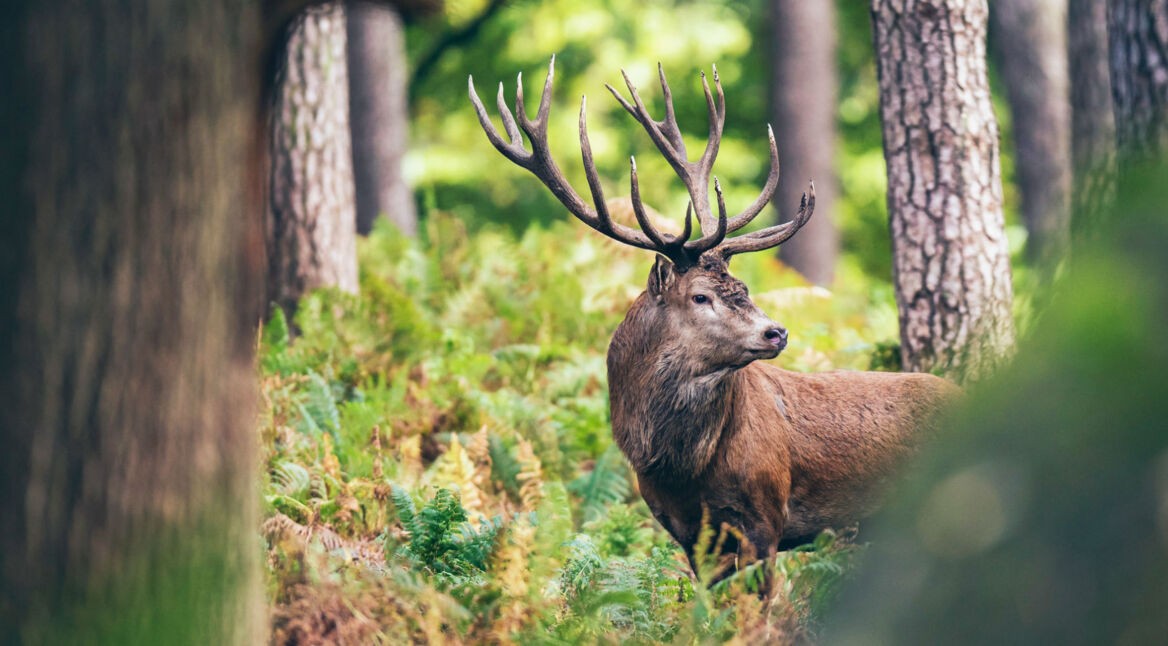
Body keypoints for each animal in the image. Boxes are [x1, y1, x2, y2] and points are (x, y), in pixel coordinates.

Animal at [469, 57, 959, 587]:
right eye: (701, 295)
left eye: (743, 287)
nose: (776, 331)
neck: (683, 470)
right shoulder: (685, 532)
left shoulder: (766, 517)